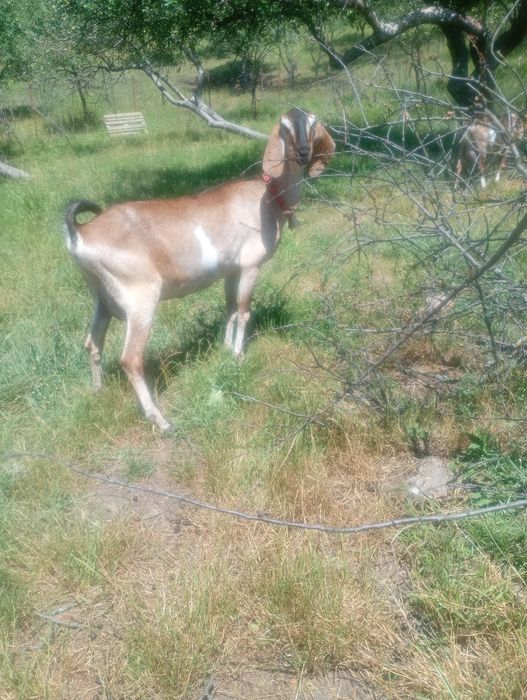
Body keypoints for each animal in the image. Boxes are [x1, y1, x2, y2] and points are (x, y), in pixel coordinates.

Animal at [65, 108, 335, 431]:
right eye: (284, 126)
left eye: (311, 121)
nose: (304, 152)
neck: (267, 195)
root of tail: (81, 234)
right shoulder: (250, 266)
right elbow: (244, 311)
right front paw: (238, 354)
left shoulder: (231, 270)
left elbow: (229, 309)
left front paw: (225, 349)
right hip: (140, 298)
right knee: (131, 359)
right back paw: (161, 420)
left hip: (101, 298)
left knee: (92, 342)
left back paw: (97, 390)